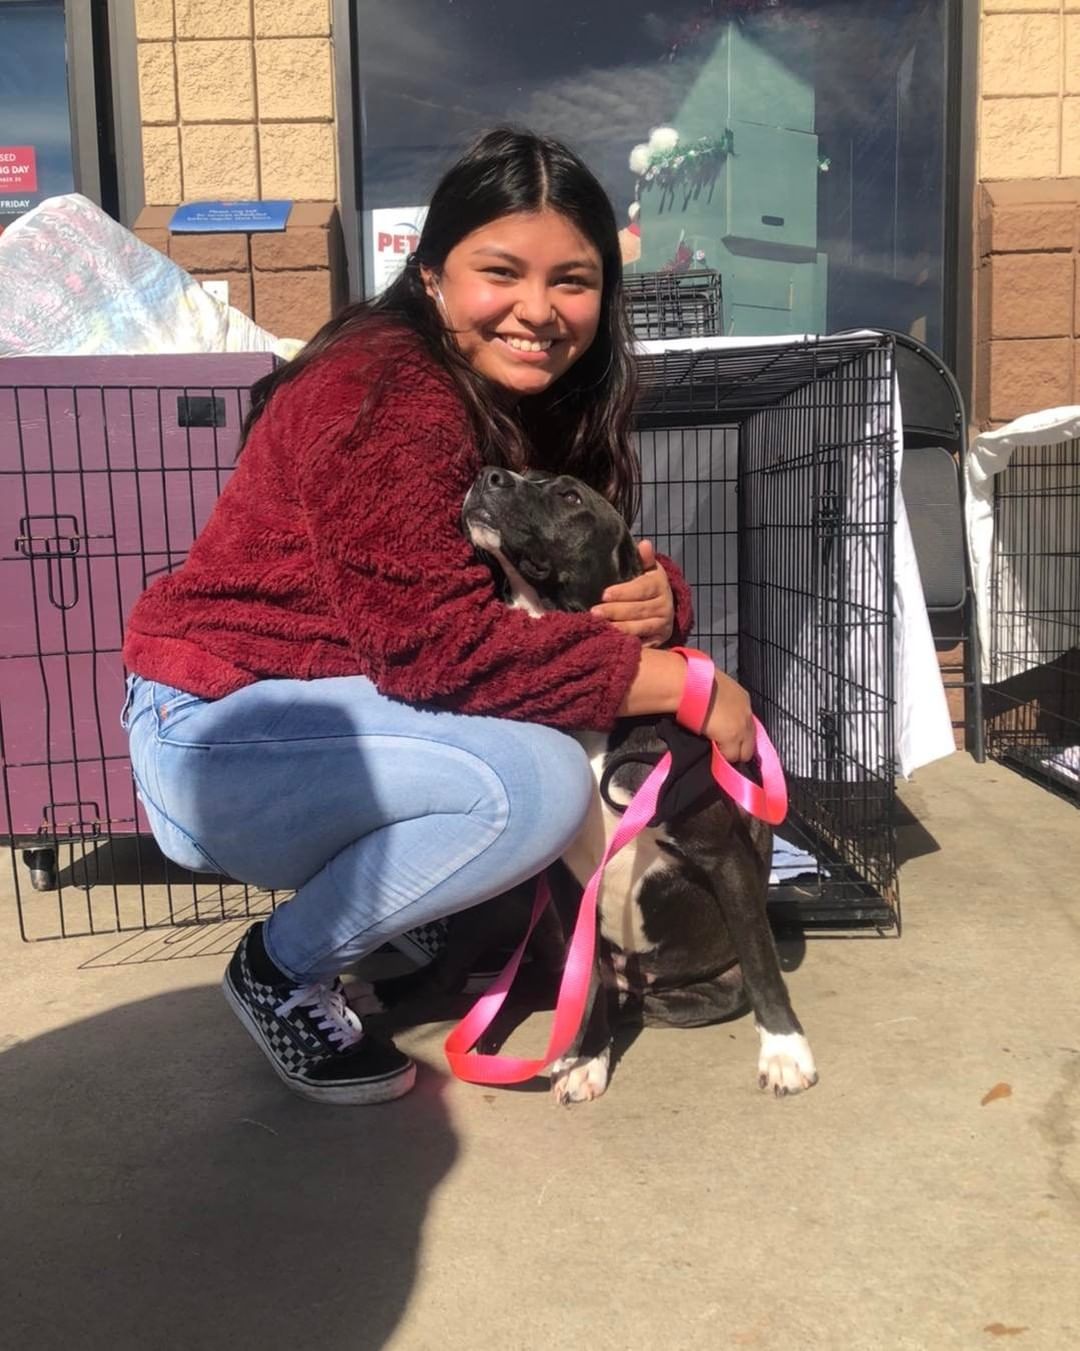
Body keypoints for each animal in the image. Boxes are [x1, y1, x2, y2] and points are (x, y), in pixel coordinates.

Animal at [367, 470, 816, 1102]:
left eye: (569, 495)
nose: (488, 475)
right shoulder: (562, 877)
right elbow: (587, 983)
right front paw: (584, 1056)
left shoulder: (722, 855)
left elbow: (761, 961)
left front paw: (784, 1051)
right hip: (501, 907)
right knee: (473, 975)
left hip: (702, 987)